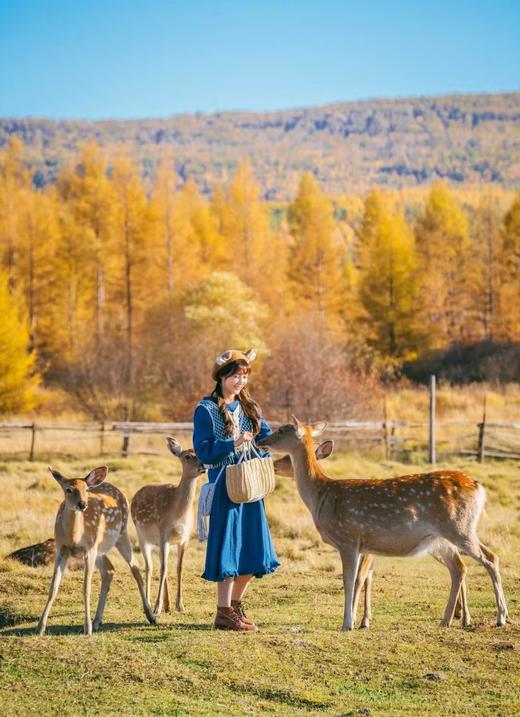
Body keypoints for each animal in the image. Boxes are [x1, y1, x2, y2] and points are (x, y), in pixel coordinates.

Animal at [37, 462, 156, 636]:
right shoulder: (61, 548)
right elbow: (53, 587)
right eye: (68, 489)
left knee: (135, 566)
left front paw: (87, 628)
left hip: (121, 533)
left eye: (86, 489)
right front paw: (40, 627)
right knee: (109, 570)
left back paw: (151, 616)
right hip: (101, 549)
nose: (82, 504)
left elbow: (86, 588)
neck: (74, 537)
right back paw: (98, 620)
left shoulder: (89, 550)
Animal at [258, 416, 506, 628]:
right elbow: (360, 579)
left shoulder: (348, 538)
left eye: (281, 430)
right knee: (462, 567)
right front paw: (357, 620)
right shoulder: (363, 545)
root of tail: (479, 488)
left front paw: (347, 624)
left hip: (459, 527)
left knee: (489, 558)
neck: (321, 495)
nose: (261, 441)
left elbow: (350, 581)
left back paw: (501, 617)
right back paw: (447, 620)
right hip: (445, 537)